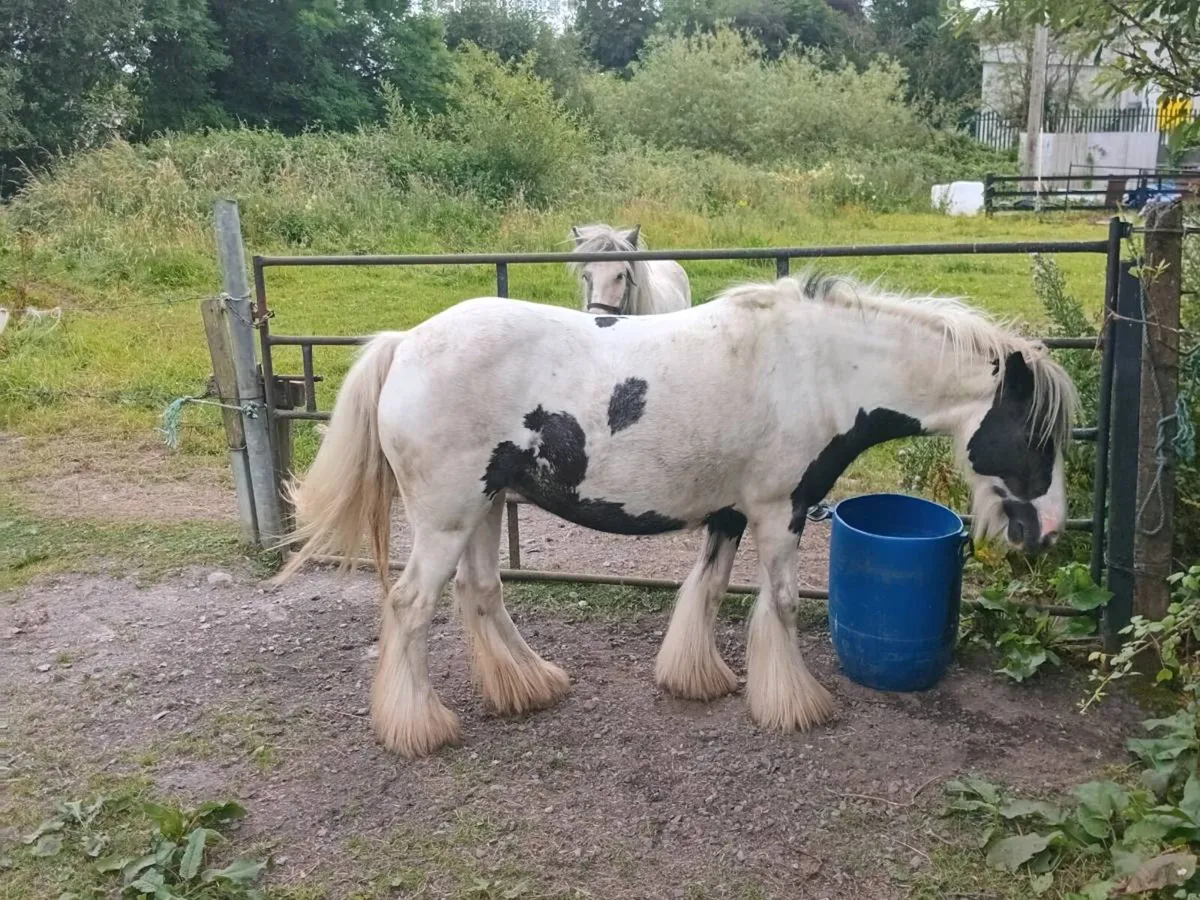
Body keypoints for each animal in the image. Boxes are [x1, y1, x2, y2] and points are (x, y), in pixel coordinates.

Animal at [274, 271, 1076, 758]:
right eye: (1036, 435)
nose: (1046, 531)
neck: (819, 368)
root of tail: (405, 344)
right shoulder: (779, 512)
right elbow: (782, 605)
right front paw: (795, 704)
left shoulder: (730, 514)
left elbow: (709, 591)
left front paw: (698, 679)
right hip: (445, 519)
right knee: (411, 606)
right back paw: (419, 728)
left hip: (485, 507)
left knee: (481, 594)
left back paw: (528, 686)